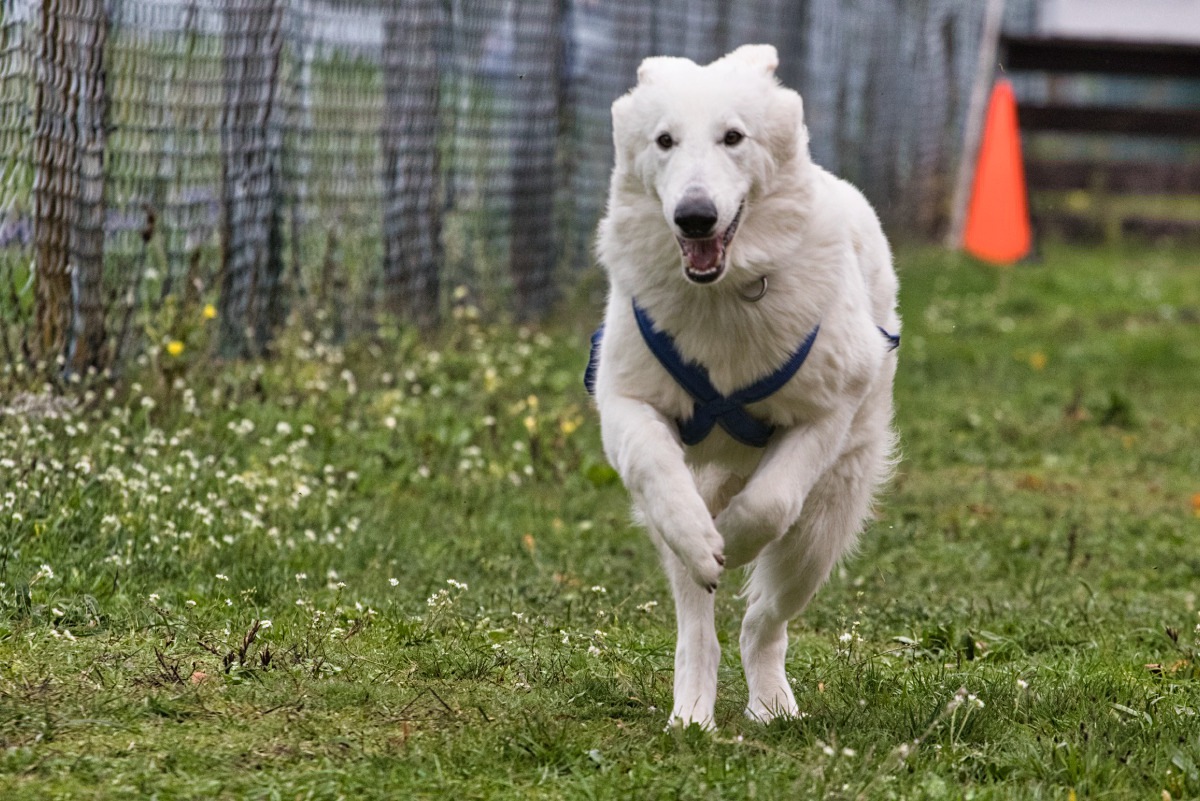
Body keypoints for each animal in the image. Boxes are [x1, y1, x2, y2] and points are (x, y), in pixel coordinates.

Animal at [587, 44, 900, 728]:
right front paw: (705, 540)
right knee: (697, 625)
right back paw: (691, 713)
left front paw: (731, 536)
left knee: (764, 622)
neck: (724, 295)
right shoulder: (625, 401)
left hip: (822, 528)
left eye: (733, 137)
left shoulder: (824, 412)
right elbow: (656, 471)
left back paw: (772, 705)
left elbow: (770, 503)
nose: (695, 216)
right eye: (665, 141)